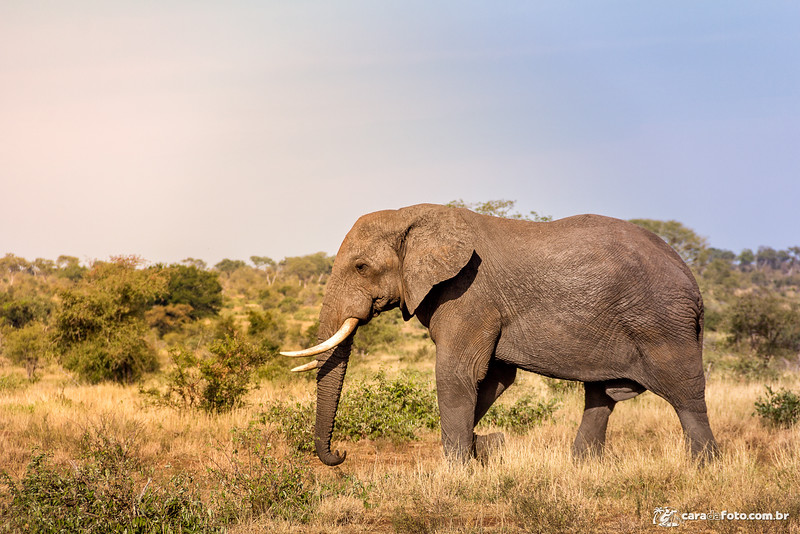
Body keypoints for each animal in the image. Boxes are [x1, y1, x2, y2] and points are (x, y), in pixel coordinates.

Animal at [282, 203, 720, 466]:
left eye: (360, 267)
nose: (340, 454)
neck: (414, 213)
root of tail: (693, 281)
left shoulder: (468, 294)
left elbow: (457, 375)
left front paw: (458, 471)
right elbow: (492, 378)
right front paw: (484, 448)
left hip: (662, 324)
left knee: (685, 394)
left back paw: (704, 468)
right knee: (600, 397)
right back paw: (582, 467)